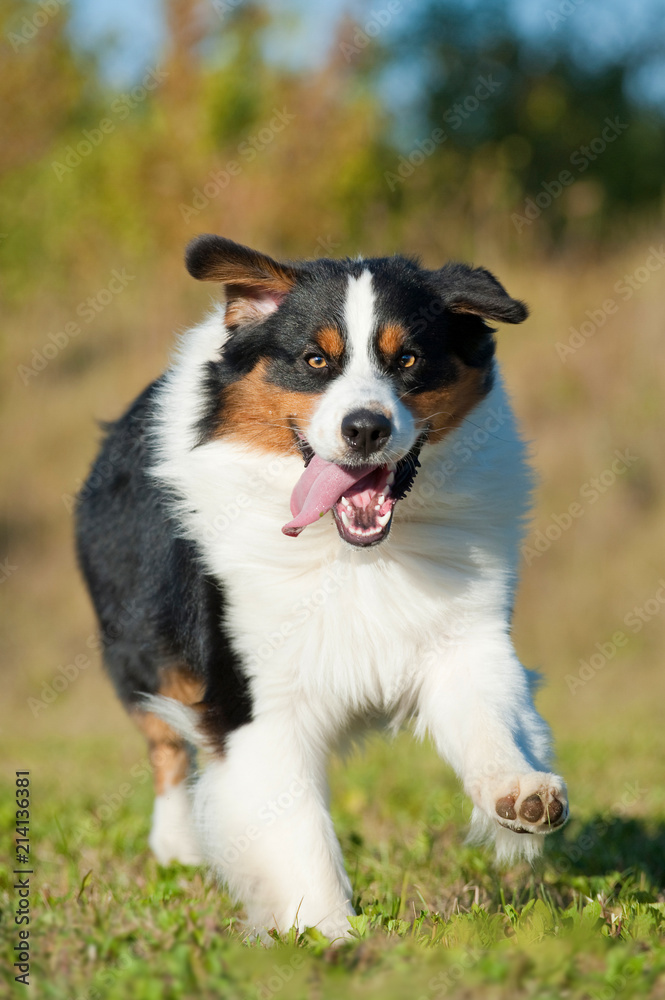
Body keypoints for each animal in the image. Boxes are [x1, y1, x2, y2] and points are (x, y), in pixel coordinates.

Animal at [76, 238, 564, 940]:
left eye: (408, 359)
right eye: (316, 360)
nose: (365, 428)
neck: (355, 555)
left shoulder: (462, 635)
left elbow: (488, 716)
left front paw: (519, 792)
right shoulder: (257, 700)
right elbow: (297, 834)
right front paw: (329, 936)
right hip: (140, 646)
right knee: (166, 744)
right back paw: (178, 846)